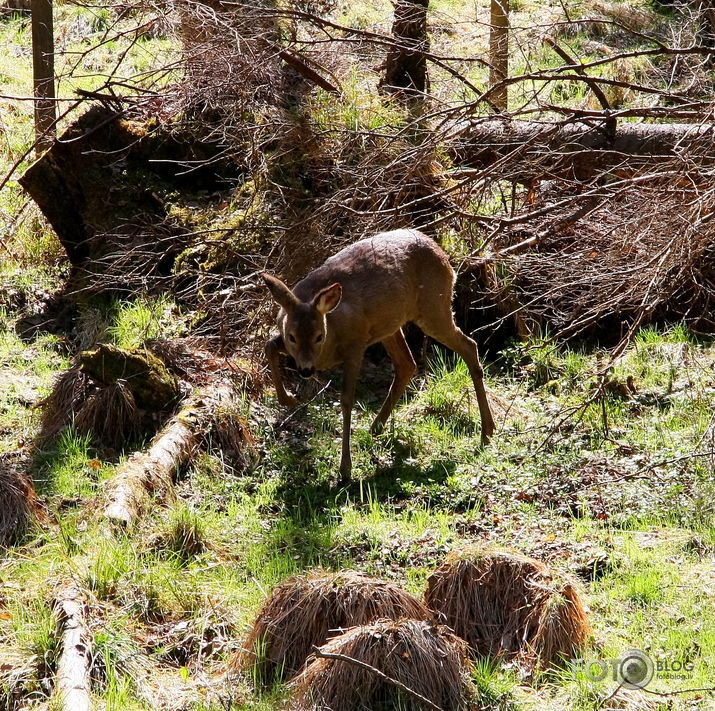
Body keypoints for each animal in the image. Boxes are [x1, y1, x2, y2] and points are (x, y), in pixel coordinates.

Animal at [264, 231, 498, 482]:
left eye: (319, 336)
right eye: (292, 336)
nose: (306, 370)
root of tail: (444, 256)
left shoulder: (356, 344)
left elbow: (347, 399)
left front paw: (345, 469)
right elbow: (269, 346)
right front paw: (288, 399)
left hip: (434, 305)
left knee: (469, 346)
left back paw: (487, 431)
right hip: (392, 324)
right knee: (407, 364)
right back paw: (376, 426)